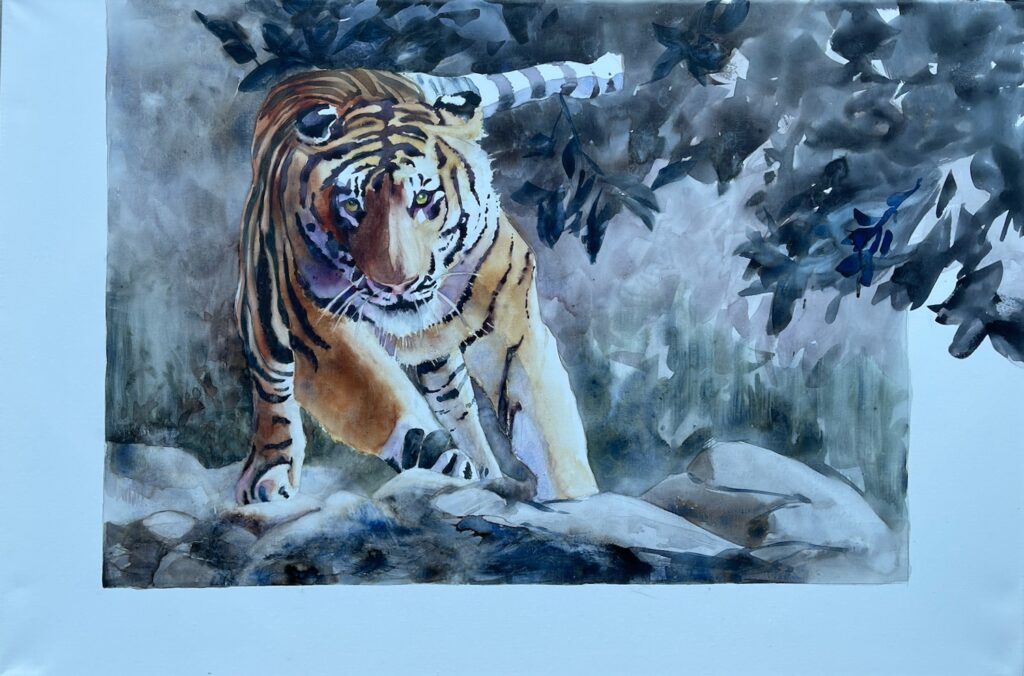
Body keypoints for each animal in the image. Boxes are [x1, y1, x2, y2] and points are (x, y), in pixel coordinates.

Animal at [234, 54, 624, 505]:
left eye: (423, 199)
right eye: (352, 205)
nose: (396, 283)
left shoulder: (514, 329)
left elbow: (548, 427)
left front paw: (573, 496)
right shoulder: (321, 337)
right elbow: (379, 399)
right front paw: (431, 451)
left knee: (456, 402)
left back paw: (480, 471)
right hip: (262, 311)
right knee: (272, 390)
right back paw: (270, 474)